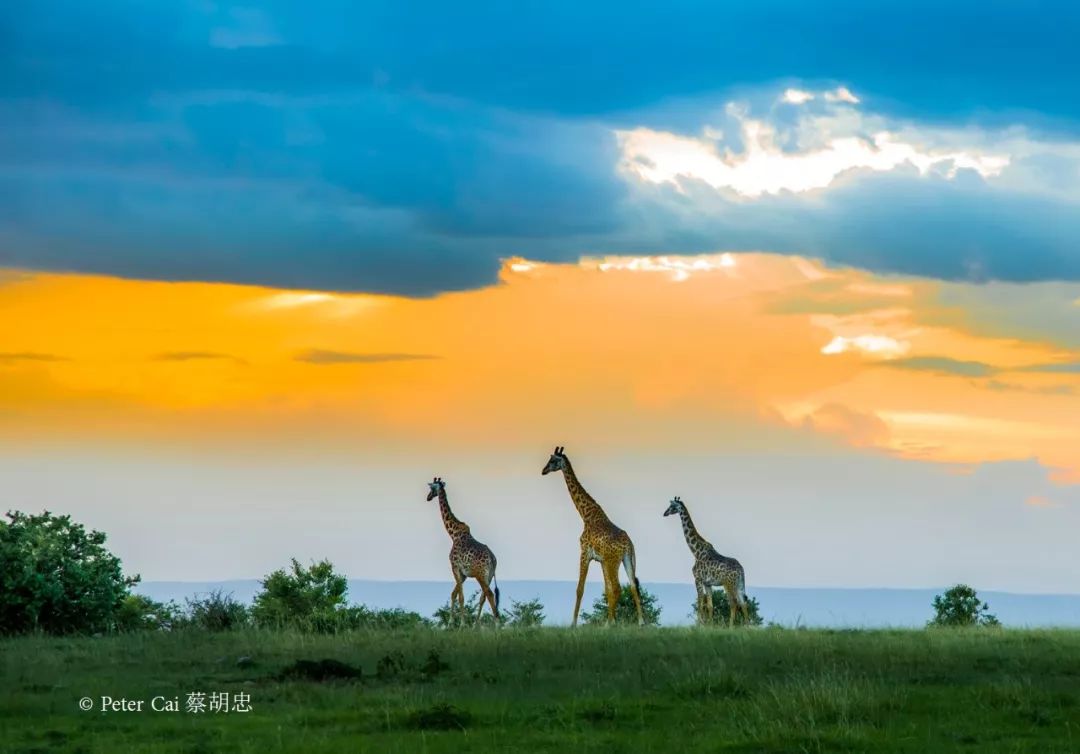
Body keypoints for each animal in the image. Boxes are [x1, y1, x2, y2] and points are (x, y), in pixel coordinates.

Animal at [425, 475, 501, 622]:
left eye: (431, 488)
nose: (428, 497)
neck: (453, 534)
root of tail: (492, 558)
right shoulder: (464, 574)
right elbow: (454, 594)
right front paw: (450, 623)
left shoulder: (455, 567)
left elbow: (460, 597)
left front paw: (461, 624)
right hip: (489, 575)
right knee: (483, 597)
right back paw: (477, 624)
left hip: (480, 574)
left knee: (489, 594)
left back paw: (496, 623)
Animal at [540, 442, 639, 626]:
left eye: (553, 460)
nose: (543, 470)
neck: (586, 515)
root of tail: (629, 545)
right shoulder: (601, 560)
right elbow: (606, 590)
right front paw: (612, 621)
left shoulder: (584, 553)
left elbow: (580, 588)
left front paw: (573, 624)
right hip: (626, 560)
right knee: (633, 585)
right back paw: (640, 622)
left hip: (613, 561)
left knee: (618, 587)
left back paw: (608, 624)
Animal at [660, 492, 747, 622]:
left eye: (672, 506)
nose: (664, 513)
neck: (696, 551)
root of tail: (740, 569)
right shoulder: (708, 583)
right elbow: (710, 606)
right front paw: (709, 624)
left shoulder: (698, 579)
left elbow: (700, 604)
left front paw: (699, 624)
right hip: (740, 584)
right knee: (744, 603)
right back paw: (748, 624)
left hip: (728, 584)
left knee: (733, 603)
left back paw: (731, 625)